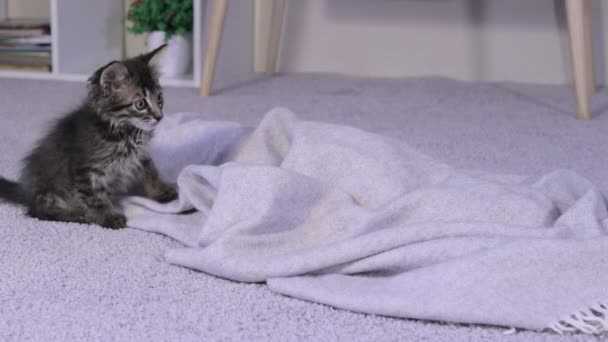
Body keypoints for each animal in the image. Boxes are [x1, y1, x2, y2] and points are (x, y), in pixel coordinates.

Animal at [0, 44, 177, 228]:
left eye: (159, 98)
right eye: (141, 104)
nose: (159, 117)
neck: (123, 132)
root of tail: (26, 191)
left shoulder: (141, 155)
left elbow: (151, 172)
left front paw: (162, 192)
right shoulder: (86, 169)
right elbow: (95, 197)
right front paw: (108, 217)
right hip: (50, 188)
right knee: (39, 211)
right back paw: (75, 215)